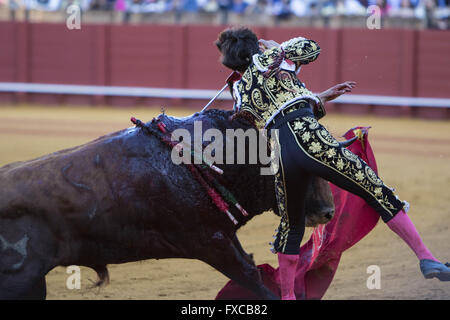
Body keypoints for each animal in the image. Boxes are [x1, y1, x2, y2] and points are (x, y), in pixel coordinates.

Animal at [0, 109, 338, 298]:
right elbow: (252, 277)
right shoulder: (210, 243)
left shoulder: (224, 236)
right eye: (303, 170)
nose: (328, 213)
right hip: (19, 281)